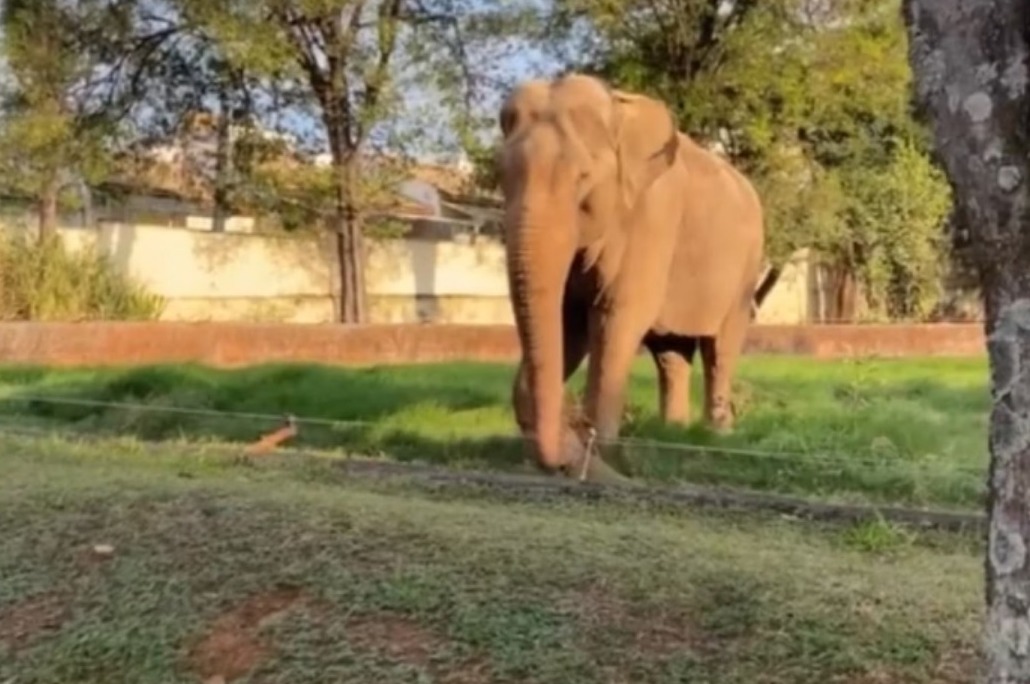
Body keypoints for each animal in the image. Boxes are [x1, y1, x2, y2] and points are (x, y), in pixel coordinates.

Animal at [496, 72, 766, 480]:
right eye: (502, 175)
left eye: (583, 178)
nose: (563, 457)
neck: (617, 110)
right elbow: (568, 323)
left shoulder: (653, 216)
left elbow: (617, 315)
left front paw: (603, 454)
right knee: (671, 353)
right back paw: (672, 432)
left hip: (744, 269)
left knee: (720, 346)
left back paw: (716, 436)